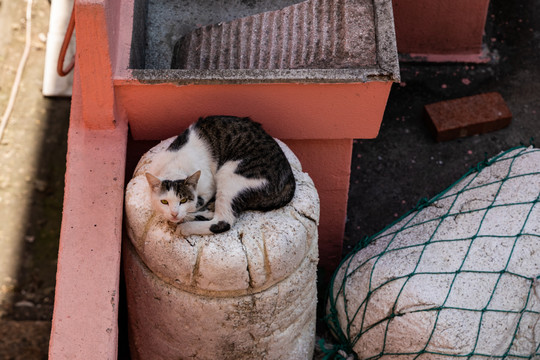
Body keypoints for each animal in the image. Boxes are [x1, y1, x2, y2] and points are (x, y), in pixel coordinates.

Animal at [143, 115, 296, 238]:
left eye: (183, 200)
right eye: (164, 201)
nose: (174, 214)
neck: (175, 166)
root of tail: (290, 178)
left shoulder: (208, 186)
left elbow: (195, 204)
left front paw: (183, 216)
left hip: (229, 174)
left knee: (223, 221)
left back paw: (186, 226)